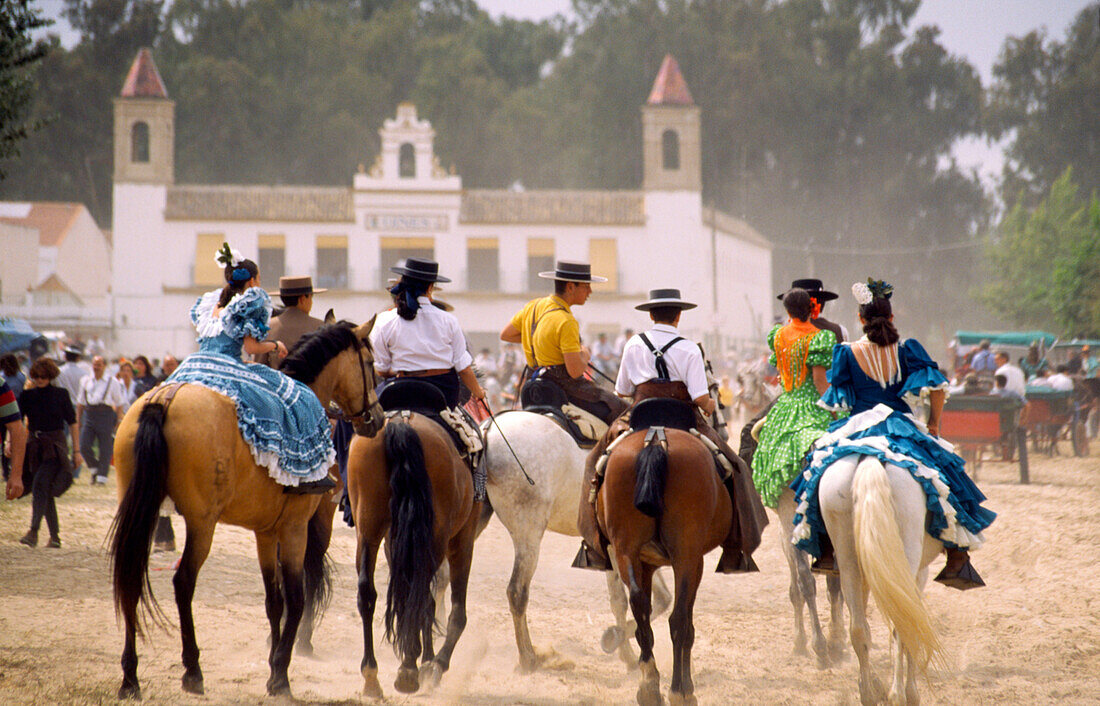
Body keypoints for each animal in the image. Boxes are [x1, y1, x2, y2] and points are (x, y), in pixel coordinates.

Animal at [107, 321, 382, 699]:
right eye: (370, 363)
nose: (377, 418)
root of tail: (165, 399)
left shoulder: (265, 532)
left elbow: (274, 601)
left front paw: (273, 665)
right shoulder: (294, 528)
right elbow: (296, 597)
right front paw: (280, 676)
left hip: (139, 510)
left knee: (131, 579)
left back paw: (130, 678)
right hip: (202, 523)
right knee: (183, 582)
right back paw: (192, 670)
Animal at [347, 393, 486, 695]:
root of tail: (402, 421)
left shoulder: (394, 541)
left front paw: (426, 657)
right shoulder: (462, 539)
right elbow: (453, 611)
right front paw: (433, 663)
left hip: (369, 526)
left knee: (368, 592)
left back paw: (372, 675)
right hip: (437, 537)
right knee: (422, 594)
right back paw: (411, 669)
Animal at [486, 406, 673, 668]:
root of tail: (488, 431)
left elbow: (639, 599)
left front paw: (622, 647)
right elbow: (634, 600)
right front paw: (619, 643)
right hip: (528, 532)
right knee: (517, 591)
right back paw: (528, 657)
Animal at [602, 413, 730, 703]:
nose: (725, 432)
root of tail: (656, 440)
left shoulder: (646, 562)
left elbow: (646, 609)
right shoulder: (695, 561)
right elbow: (686, 623)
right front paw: (687, 687)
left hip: (626, 548)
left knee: (638, 603)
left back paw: (648, 684)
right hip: (685, 554)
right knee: (679, 619)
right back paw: (679, 691)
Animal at [818, 453, 946, 699]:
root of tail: (870, 460)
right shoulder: (918, 574)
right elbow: (912, 623)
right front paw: (911, 691)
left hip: (848, 560)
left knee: (858, 628)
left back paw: (868, 693)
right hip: (905, 560)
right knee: (902, 623)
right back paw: (899, 695)